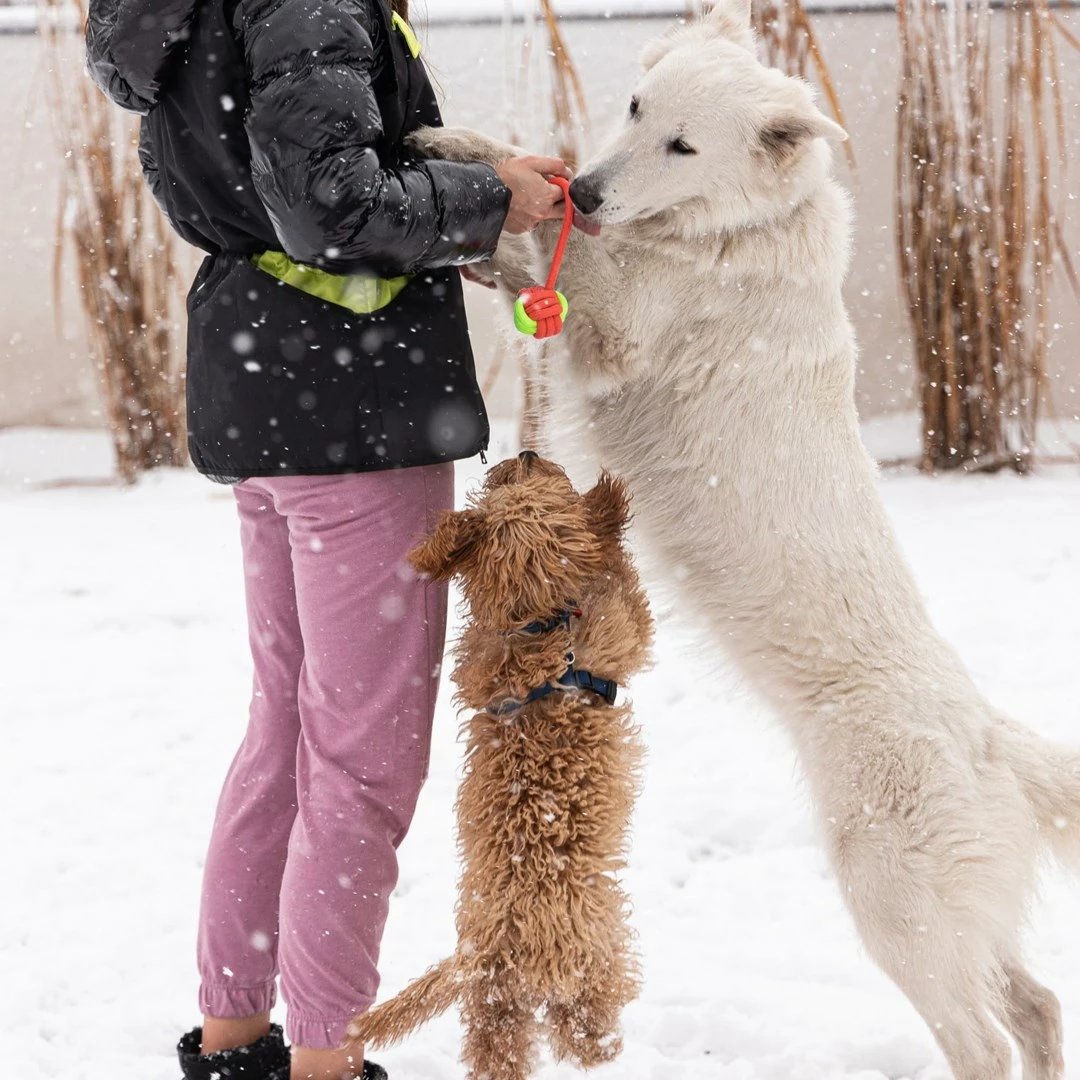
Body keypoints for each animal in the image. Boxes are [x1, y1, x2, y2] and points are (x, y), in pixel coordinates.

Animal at [347, 449, 648, 1080]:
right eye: (528, 480)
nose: (527, 451)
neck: (536, 624)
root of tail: (482, 952)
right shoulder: (619, 631)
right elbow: (627, 590)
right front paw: (610, 511)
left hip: (497, 1013)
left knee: (501, 1052)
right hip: (592, 967)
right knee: (584, 1033)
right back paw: (608, 1052)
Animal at [410, 4, 1080, 1075]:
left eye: (683, 146)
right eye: (635, 108)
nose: (590, 188)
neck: (735, 230)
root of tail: (988, 738)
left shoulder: (621, 322)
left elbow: (563, 247)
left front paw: (480, 164)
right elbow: (538, 243)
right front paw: (473, 165)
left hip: (894, 908)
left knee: (986, 1037)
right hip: (958, 923)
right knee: (1040, 1002)